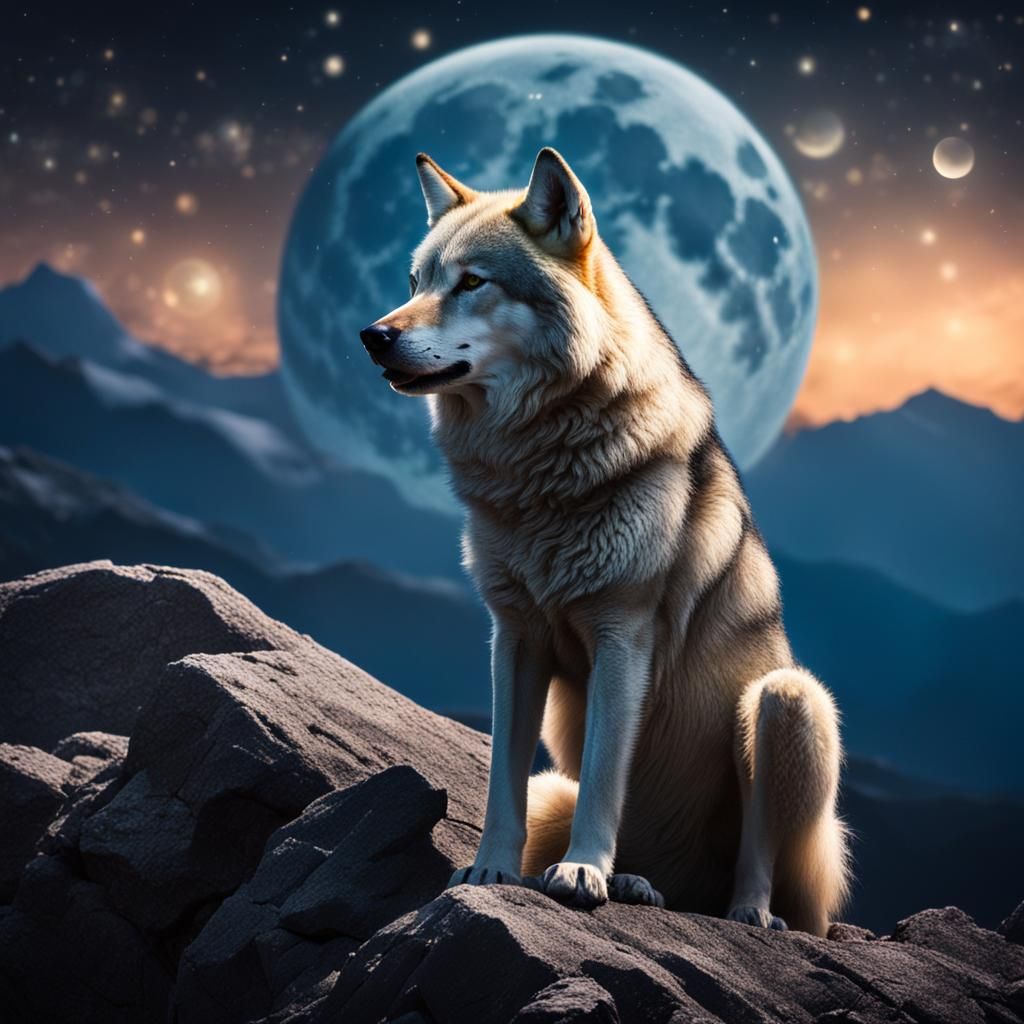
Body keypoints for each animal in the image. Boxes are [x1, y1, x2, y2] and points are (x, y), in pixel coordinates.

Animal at [359, 147, 850, 935]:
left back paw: (742, 911)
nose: (374, 335)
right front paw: (490, 870)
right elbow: (501, 779)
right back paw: (639, 884)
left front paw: (583, 870)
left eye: (471, 283)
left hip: (785, 701)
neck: (540, 475)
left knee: (761, 861)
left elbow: (601, 775)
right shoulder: (514, 637)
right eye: (415, 282)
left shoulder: (623, 639)